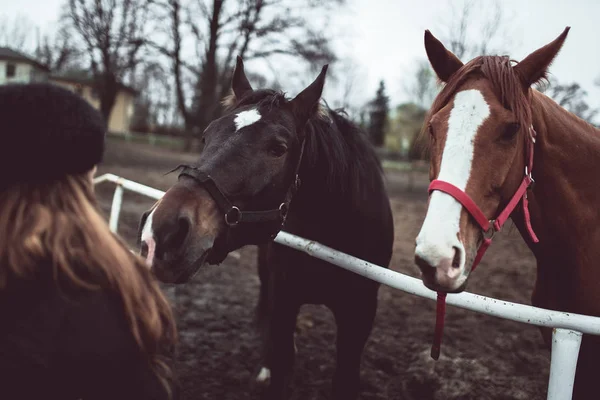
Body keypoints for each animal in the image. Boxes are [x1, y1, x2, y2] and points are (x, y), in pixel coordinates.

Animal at [138, 57, 396, 400]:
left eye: (278, 148)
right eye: (206, 136)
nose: (160, 233)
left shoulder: (360, 316)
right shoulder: (284, 297)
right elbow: (281, 356)